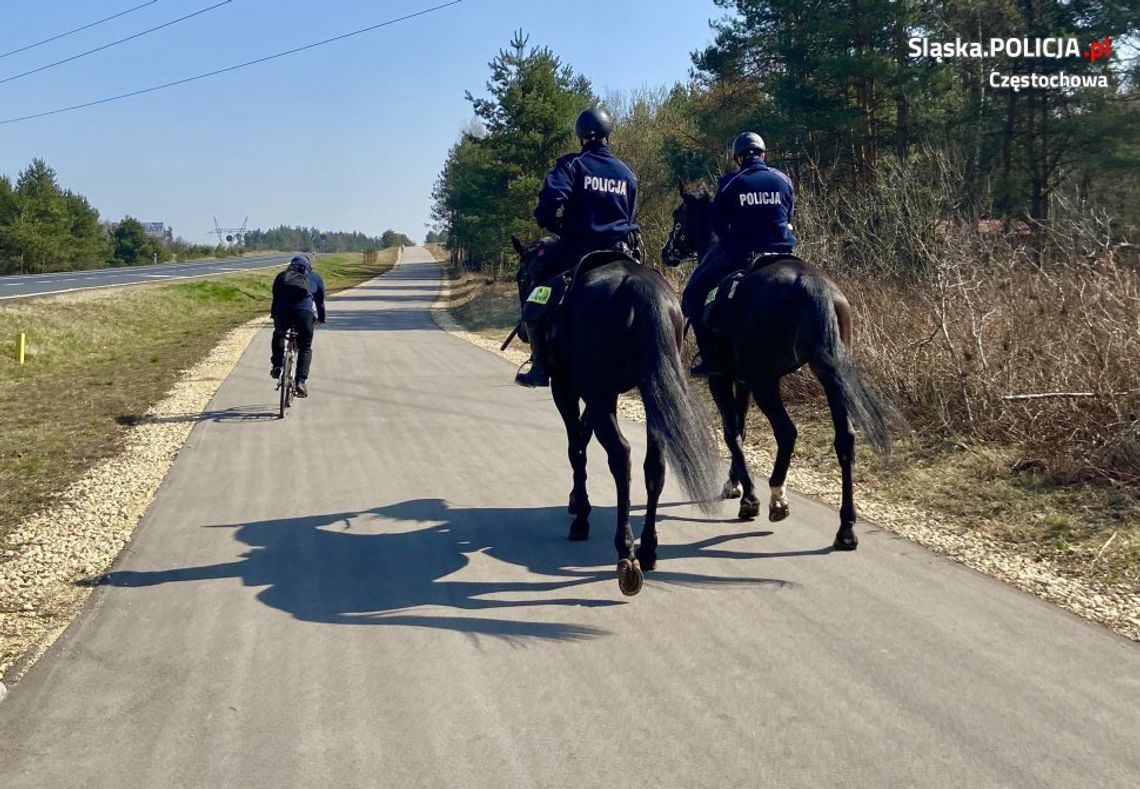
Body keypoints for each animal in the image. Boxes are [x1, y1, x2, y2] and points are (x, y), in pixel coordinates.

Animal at [513, 237, 715, 592]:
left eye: (523, 277)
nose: (524, 330)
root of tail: (639, 289)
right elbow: (582, 438)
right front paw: (575, 501)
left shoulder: (568, 388)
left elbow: (576, 448)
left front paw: (580, 513)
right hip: (649, 391)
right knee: (654, 464)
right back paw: (647, 548)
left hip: (598, 393)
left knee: (621, 456)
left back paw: (626, 550)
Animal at [661, 181, 898, 551]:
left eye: (678, 216)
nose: (666, 251)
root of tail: (812, 284)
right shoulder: (742, 379)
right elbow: (741, 428)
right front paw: (734, 484)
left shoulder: (722, 377)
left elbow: (732, 431)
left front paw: (748, 497)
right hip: (828, 374)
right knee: (845, 439)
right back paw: (846, 528)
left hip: (766, 381)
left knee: (787, 433)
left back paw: (776, 498)